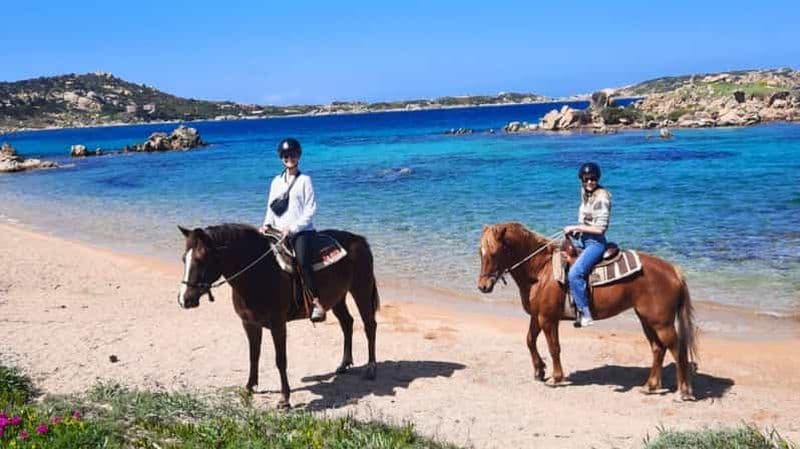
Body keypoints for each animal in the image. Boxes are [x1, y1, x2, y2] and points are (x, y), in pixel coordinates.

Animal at [177, 223, 379, 408]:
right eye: (184, 259)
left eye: (202, 258)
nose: (184, 299)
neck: (259, 273)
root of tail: (359, 239)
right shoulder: (249, 324)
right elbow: (253, 355)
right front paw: (250, 387)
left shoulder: (278, 325)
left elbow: (280, 360)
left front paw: (284, 399)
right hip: (337, 297)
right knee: (347, 323)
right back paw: (344, 364)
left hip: (361, 289)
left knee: (369, 325)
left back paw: (371, 369)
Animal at [477, 222, 697, 401]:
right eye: (480, 253)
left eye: (494, 252)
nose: (483, 286)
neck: (540, 271)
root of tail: (673, 271)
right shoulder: (537, 316)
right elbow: (530, 341)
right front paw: (539, 371)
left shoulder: (548, 318)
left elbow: (554, 347)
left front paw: (556, 377)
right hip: (647, 319)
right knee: (658, 348)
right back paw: (650, 386)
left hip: (662, 323)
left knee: (677, 350)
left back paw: (683, 392)